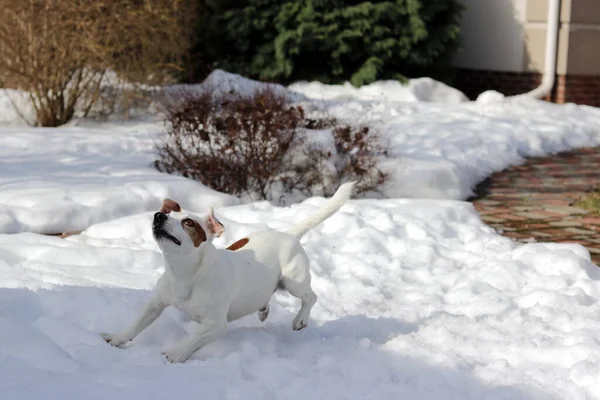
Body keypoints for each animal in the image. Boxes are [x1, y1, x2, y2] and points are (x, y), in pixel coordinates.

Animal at [101, 183, 354, 364]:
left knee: (310, 297)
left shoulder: (215, 324)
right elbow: (136, 324)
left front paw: (176, 353)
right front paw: (117, 339)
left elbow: (193, 339)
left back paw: (300, 319)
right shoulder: (156, 303)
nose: (158, 215)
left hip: (295, 281)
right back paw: (263, 309)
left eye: (189, 222)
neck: (184, 272)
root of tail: (288, 234)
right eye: (168, 213)